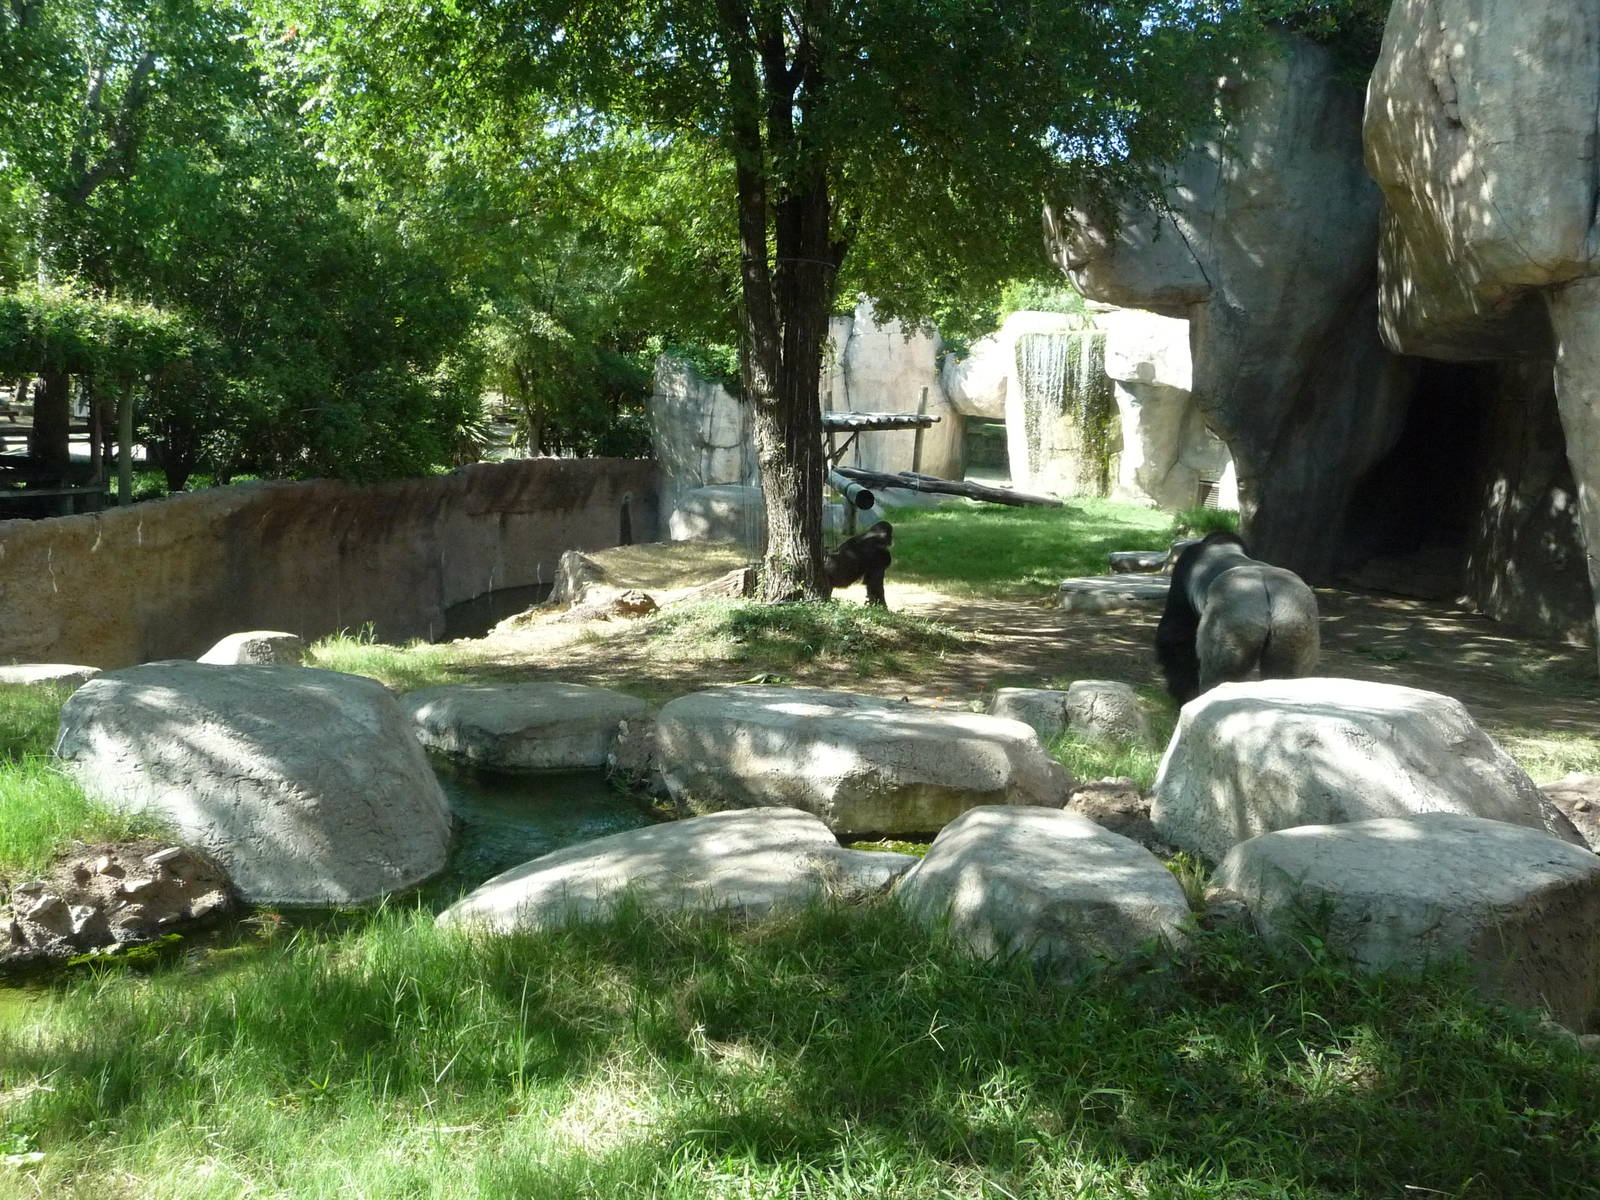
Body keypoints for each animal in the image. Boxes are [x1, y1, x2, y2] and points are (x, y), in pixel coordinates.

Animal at [1155, 530, 1319, 704]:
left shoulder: (1185, 564)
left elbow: (1175, 633)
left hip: (1232, 621)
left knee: (1219, 674)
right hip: (1295, 620)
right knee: (1285, 672)